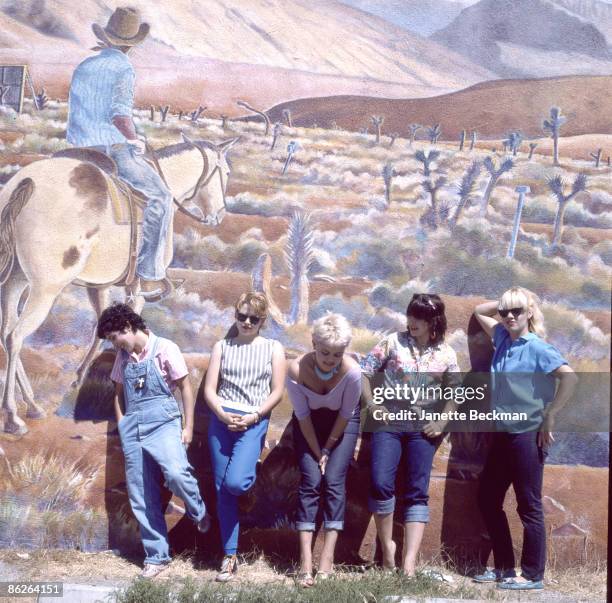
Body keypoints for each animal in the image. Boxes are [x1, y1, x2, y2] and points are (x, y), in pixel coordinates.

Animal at [0, 135, 238, 434]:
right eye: (226, 173)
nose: (220, 215)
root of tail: (26, 181)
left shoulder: (99, 285)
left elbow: (101, 328)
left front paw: (80, 377)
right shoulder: (137, 288)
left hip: (14, 280)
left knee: (6, 333)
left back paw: (32, 404)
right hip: (45, 288)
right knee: (16, 336)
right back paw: (12, 416)